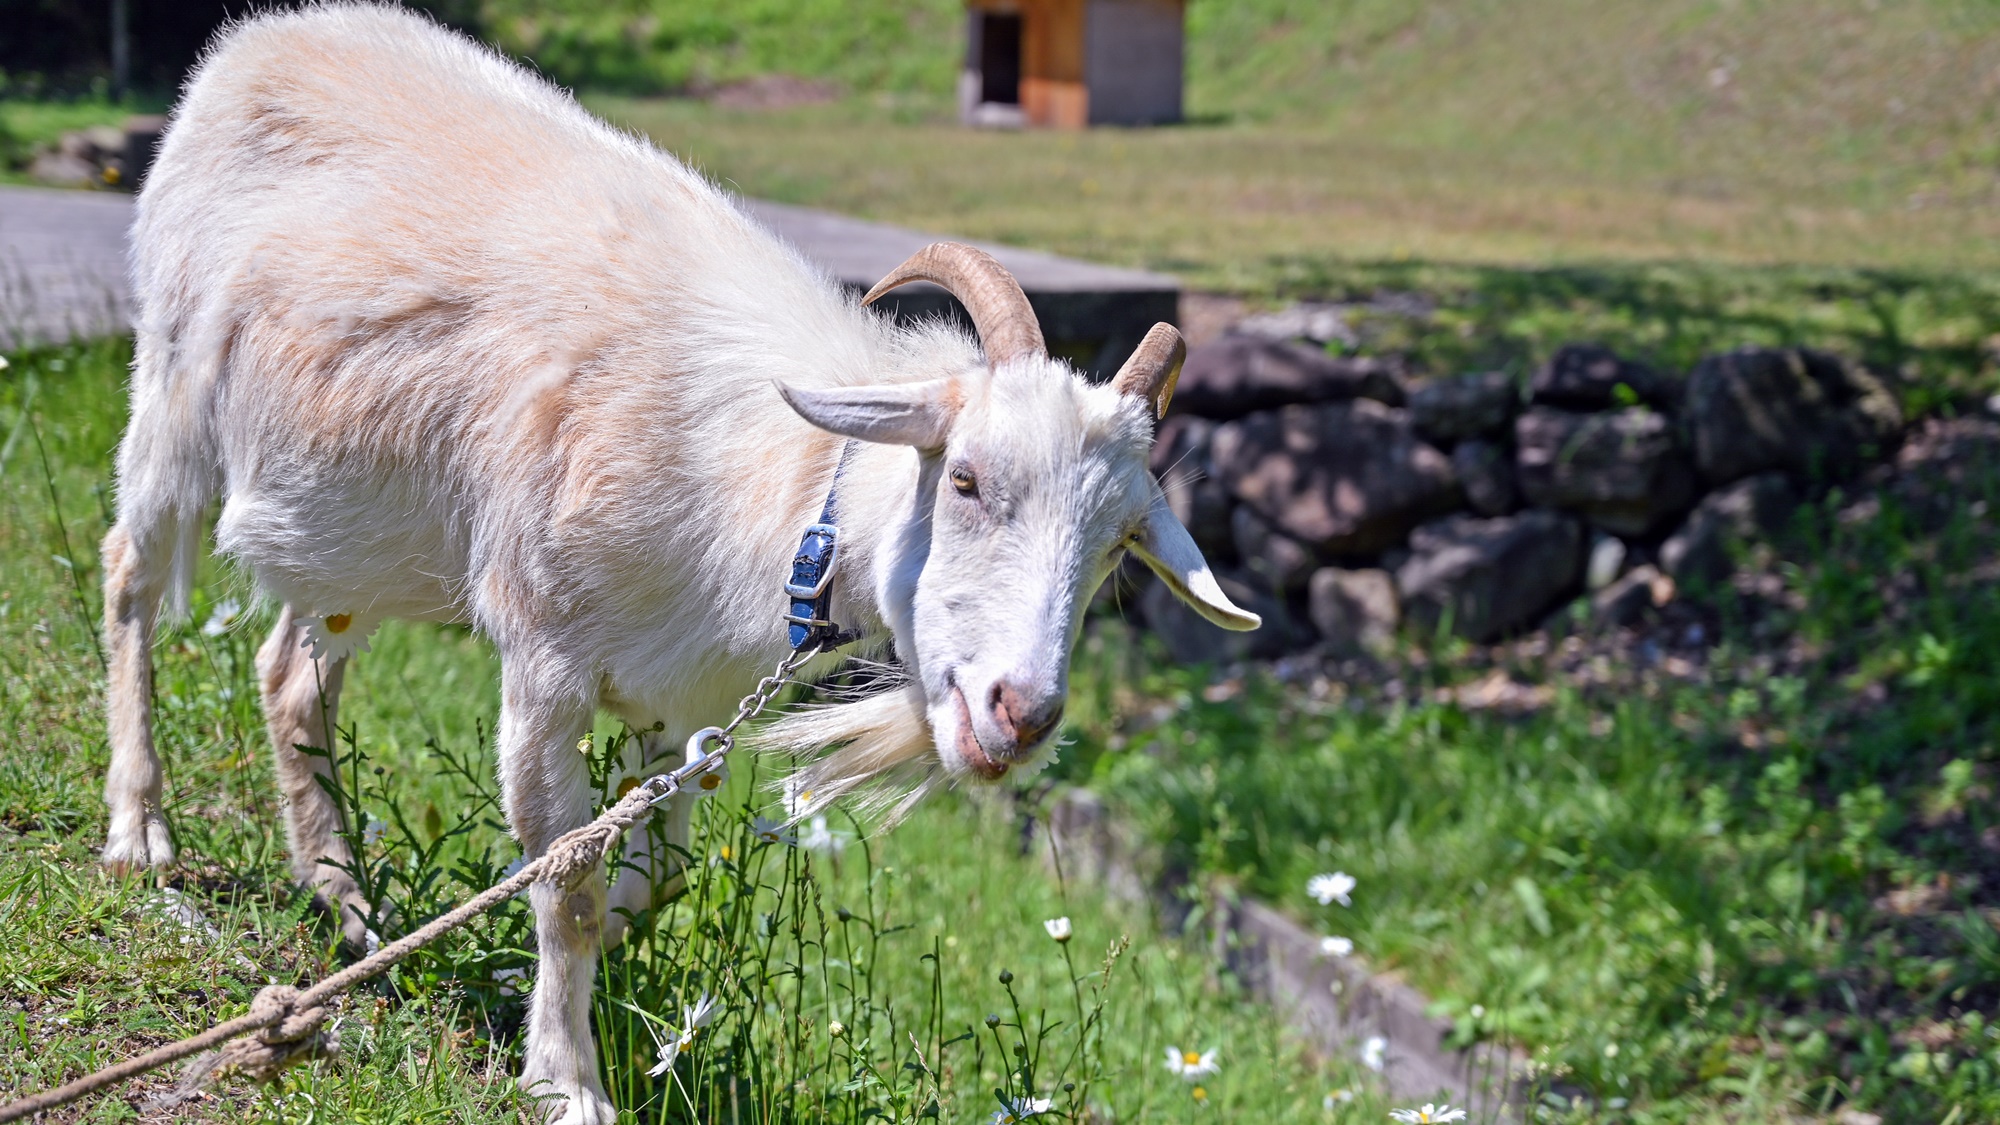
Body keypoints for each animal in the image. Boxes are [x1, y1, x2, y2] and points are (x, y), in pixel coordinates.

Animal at [101, 4, 1256, 1112]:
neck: (776, 498)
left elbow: (653, 881)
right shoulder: (546, 660)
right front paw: (565, 1080)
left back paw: (346, 903)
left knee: (291, 671)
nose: (1024, 713)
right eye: (965, 479)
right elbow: (563, 881)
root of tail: (259, 38)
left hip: (350, 532)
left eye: (1118, 548)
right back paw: (141, 833)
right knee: (129, 577)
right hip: (171, 379)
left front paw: (551, 968)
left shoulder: (685, 705)